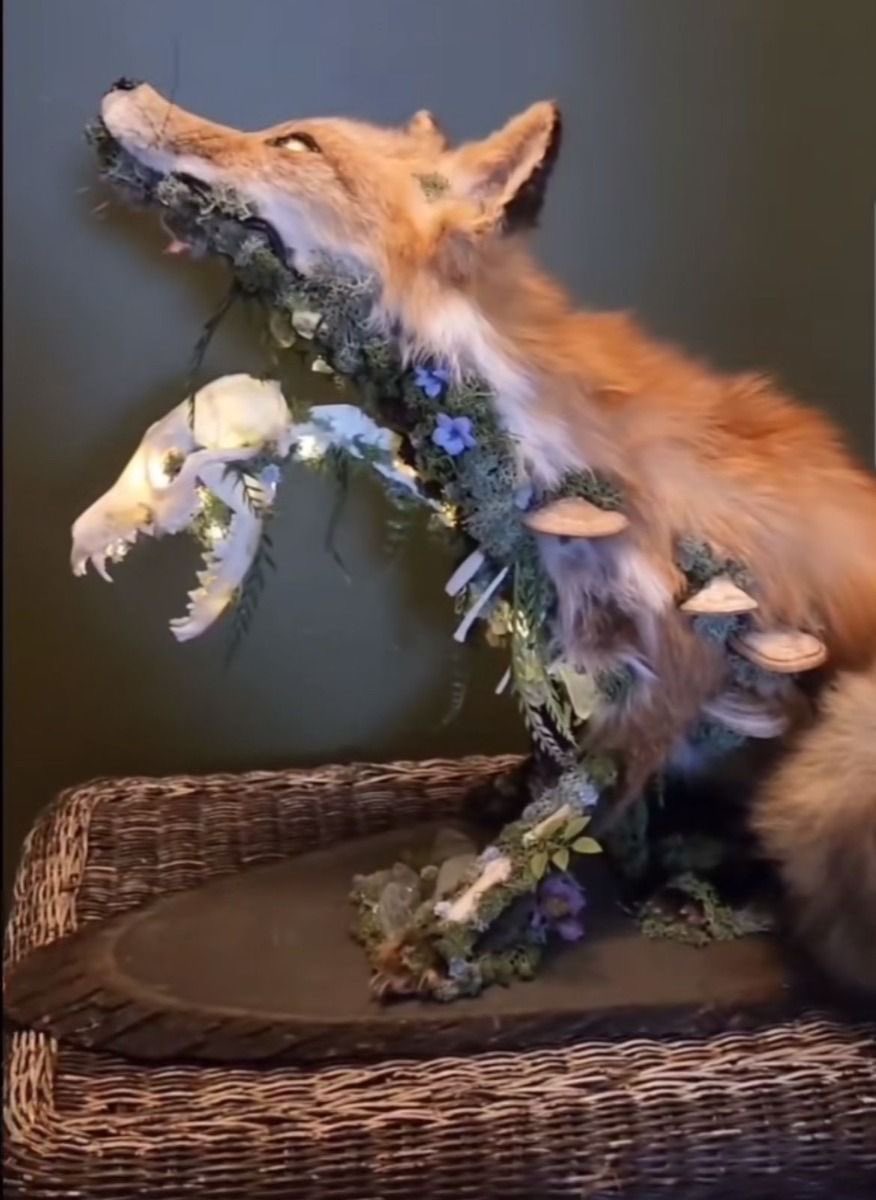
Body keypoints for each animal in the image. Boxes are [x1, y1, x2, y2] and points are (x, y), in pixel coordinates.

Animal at [98, 80, 876, 996]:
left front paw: (451, 934)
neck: (538, 443)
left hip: (831, 760)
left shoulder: (672, 664)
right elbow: (551, 780)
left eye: (296, 144)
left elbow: (552, 833)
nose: (125, 87)